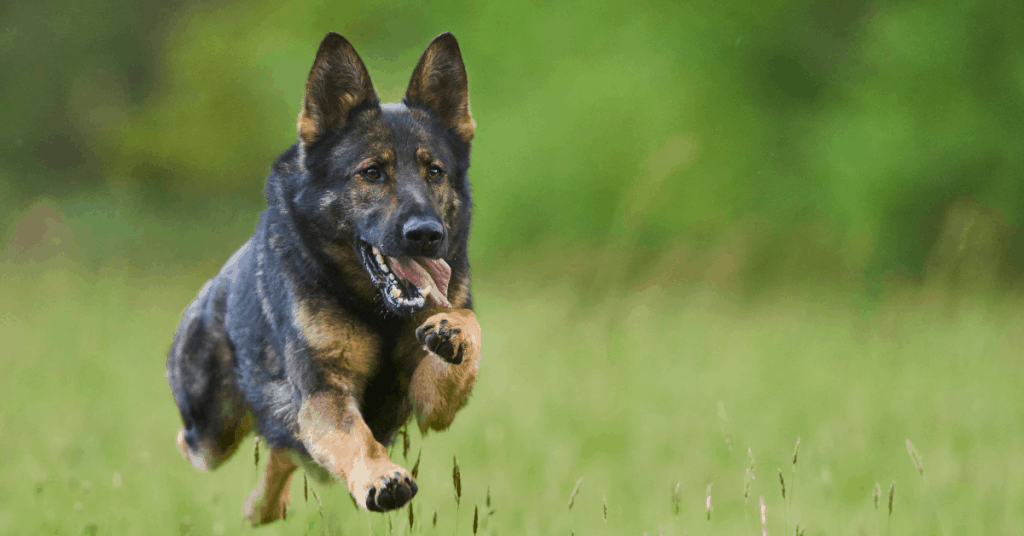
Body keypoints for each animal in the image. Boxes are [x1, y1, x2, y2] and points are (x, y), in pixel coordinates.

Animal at [166, 32, 483, 524]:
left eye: (435, 172)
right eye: (372, 172)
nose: (426, 235)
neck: (377, 313)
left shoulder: (431, 405)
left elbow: (466, 330)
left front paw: (455, 333)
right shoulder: (323, 393)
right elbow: (356, 437)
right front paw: (381, 477)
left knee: (284, 456)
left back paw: (265, 505)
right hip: (211, 430)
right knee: (201, 442)